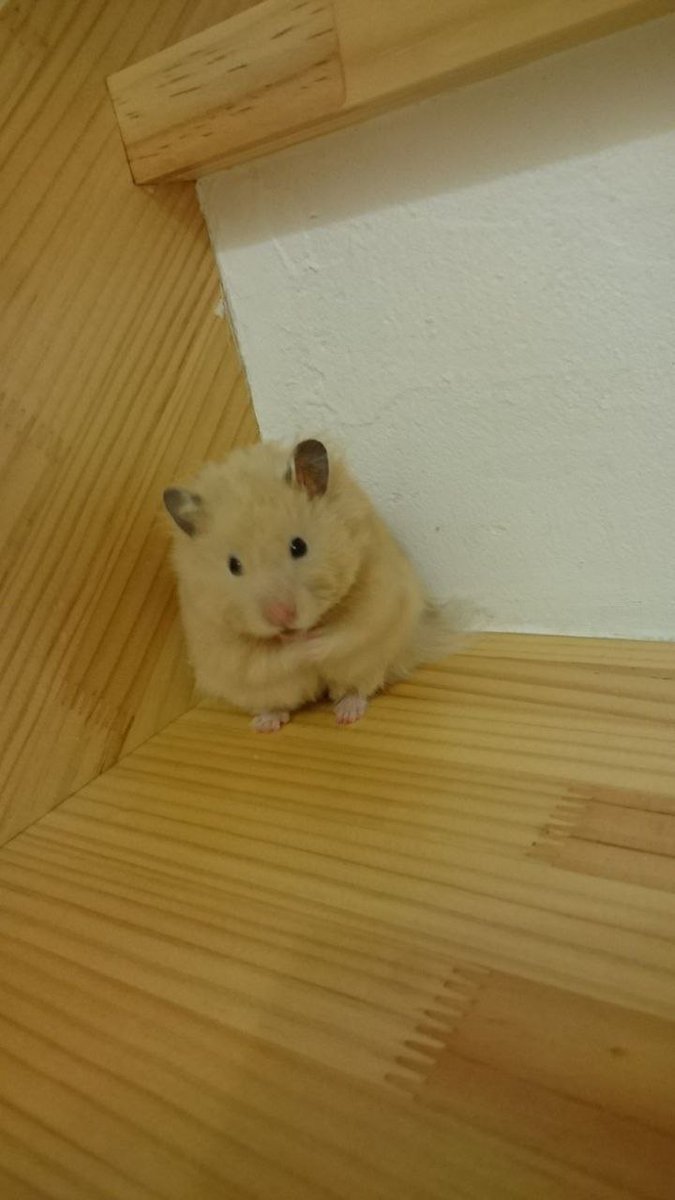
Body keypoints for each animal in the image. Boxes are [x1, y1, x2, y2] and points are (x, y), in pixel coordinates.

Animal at [164, 438, 461, 732]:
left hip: (372, 660)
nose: (281, 616)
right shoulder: (223, 645)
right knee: (275, 702)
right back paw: (266, 724)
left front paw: (312, 645)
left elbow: (346, 633)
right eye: (233, 565)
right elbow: (270, 660)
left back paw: (346, 713)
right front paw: (298, 647)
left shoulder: (377, 599)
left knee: (359, 686)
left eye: (299, 546)